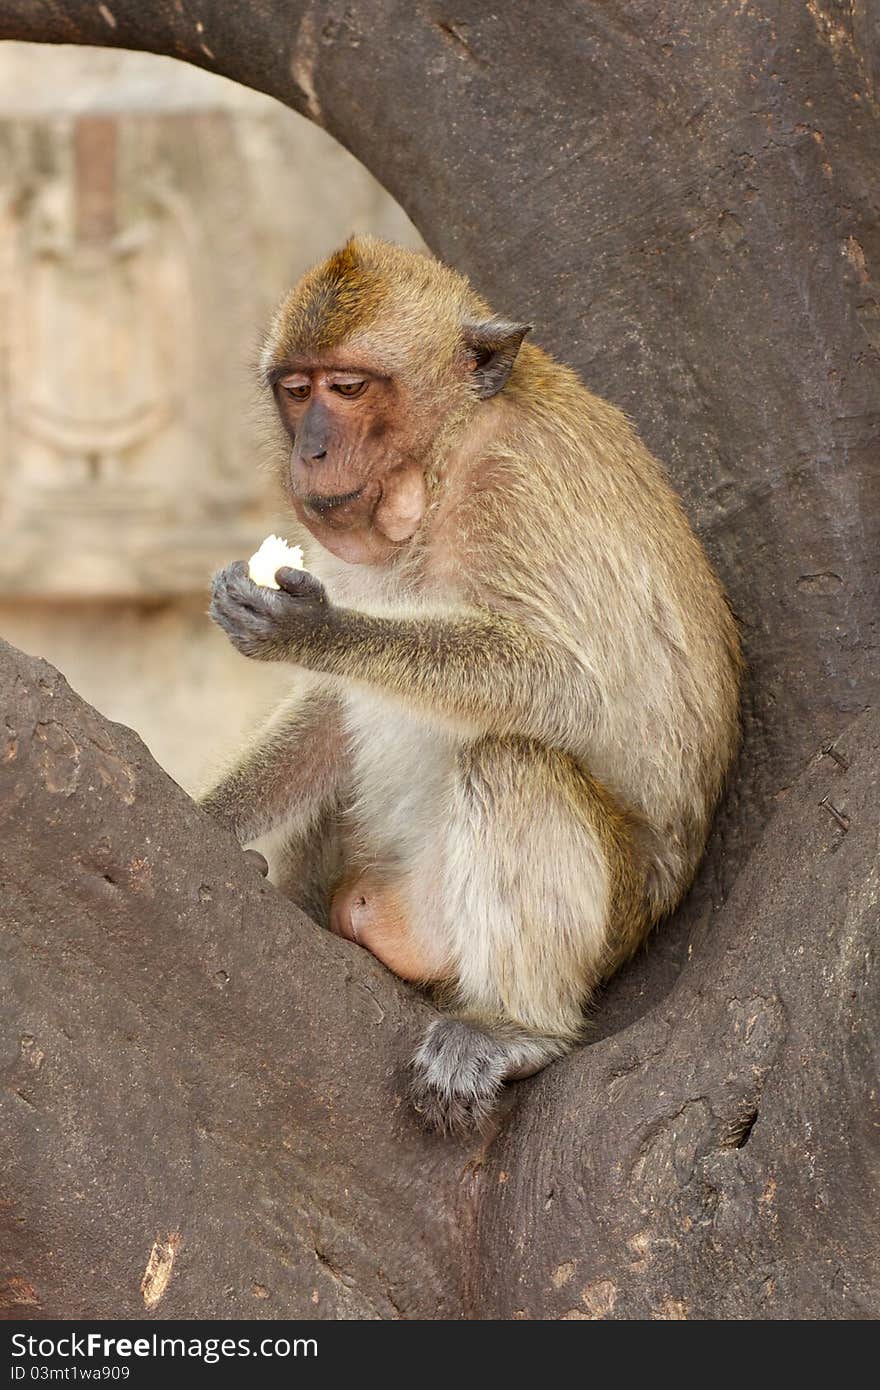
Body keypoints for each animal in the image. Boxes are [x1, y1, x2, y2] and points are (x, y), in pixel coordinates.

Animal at [200, 236, 739, 1128]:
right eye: (297, 390)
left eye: (349, 389)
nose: (310, 451)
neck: (443, 459)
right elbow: (337, 708)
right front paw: (212, 817)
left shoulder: (517, 485)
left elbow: (570, 684)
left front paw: (316, 633)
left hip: (609, 922)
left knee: (509, 762)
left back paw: (516, 1027)